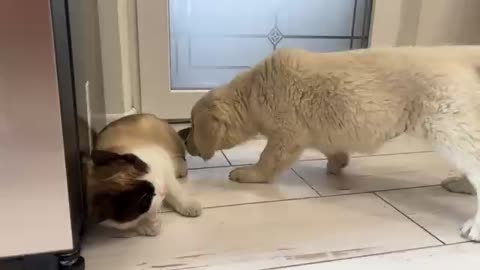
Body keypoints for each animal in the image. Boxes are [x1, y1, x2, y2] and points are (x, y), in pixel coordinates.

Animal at [180, 46, 480, 240]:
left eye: (193, 126)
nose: (184, 140)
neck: (254, 92)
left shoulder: (286, 134)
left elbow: (268, 159)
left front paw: (248, 174)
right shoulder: (321, 130)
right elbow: (332, 148)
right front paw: (338, 164)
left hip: (449, 125)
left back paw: (474, 224)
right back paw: (461, 185)